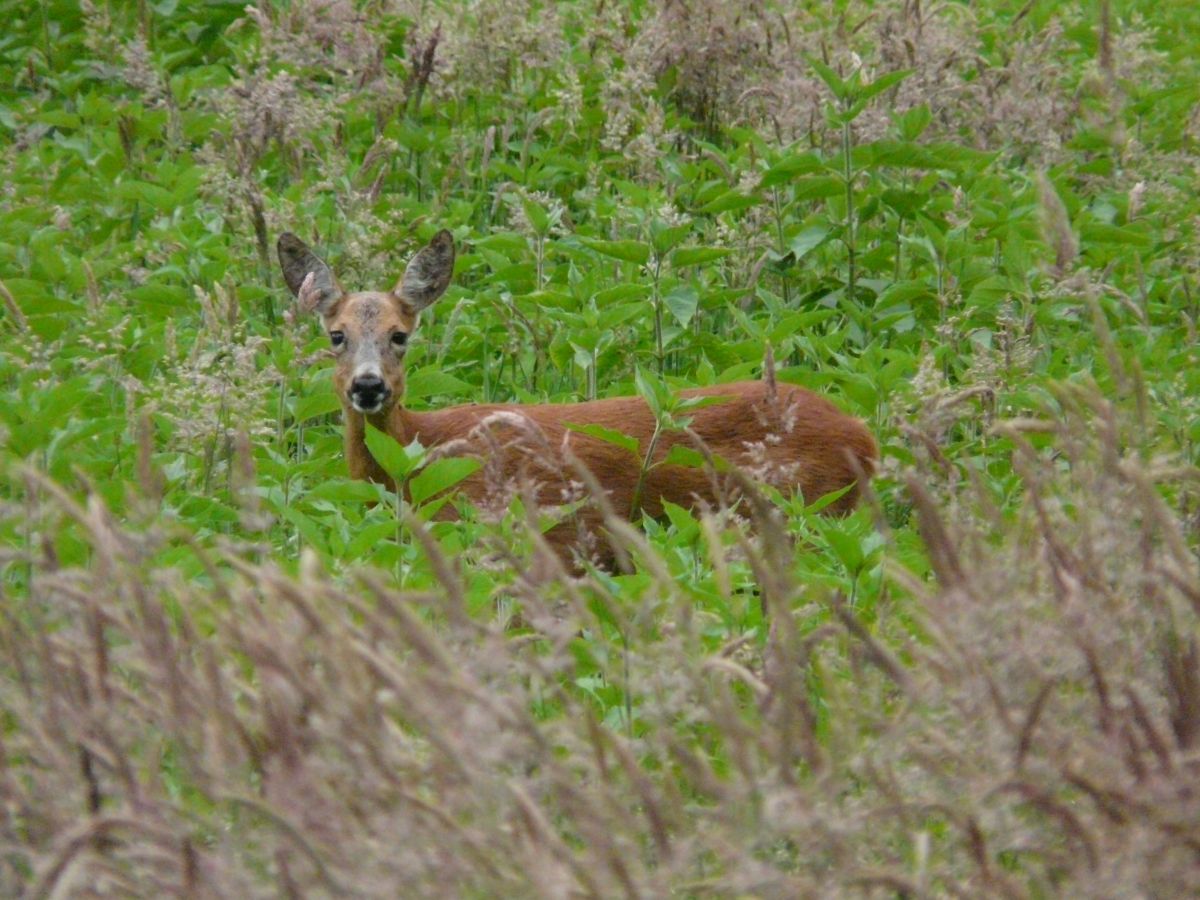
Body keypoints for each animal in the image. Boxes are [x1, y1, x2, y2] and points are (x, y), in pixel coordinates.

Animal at [280, 225, 883, 564]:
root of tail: (864, 435)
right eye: (336, 335)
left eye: (400, 335)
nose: (368, 385)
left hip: (805, 512)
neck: (421, 454)